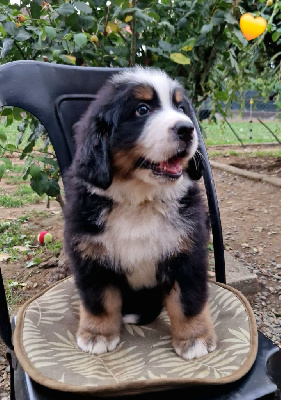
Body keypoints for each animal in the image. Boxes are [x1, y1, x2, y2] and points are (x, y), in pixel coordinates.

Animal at [64, 67, 217, 360]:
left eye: (180, 107)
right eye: (142, 109)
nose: (187, 129)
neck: (140, 201)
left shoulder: (187, 251)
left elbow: (187, 301)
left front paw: (194, 339)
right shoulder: (90, 253)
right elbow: (99, 300)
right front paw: (97, 335)